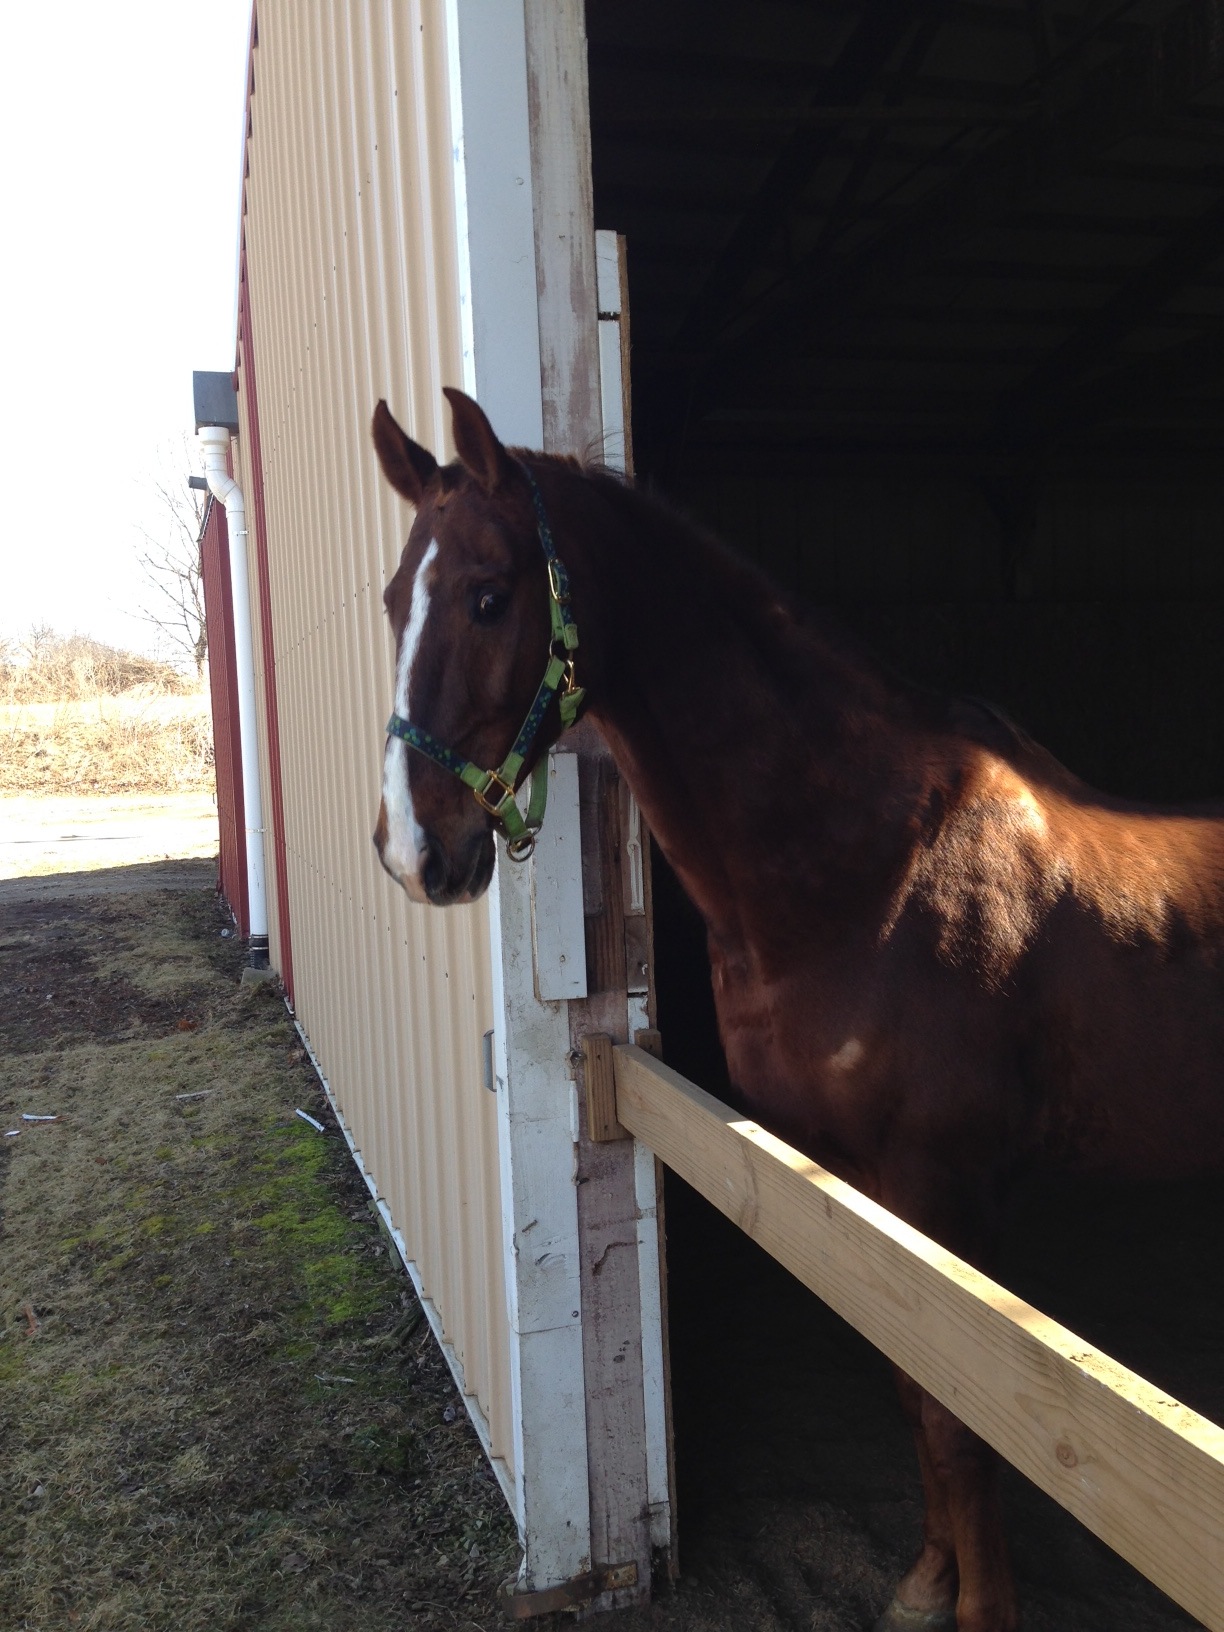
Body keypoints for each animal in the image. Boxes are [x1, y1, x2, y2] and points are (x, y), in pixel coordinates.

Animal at [368, 385, 1224, 1632]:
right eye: (395, 599)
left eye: (488, 593)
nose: (414, 852)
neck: (871, 868)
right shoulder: (863, 1185)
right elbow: (914, 1392)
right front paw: (926, 1584)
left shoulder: (943, 1186)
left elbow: (964, 1418)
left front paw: (979, 1608)